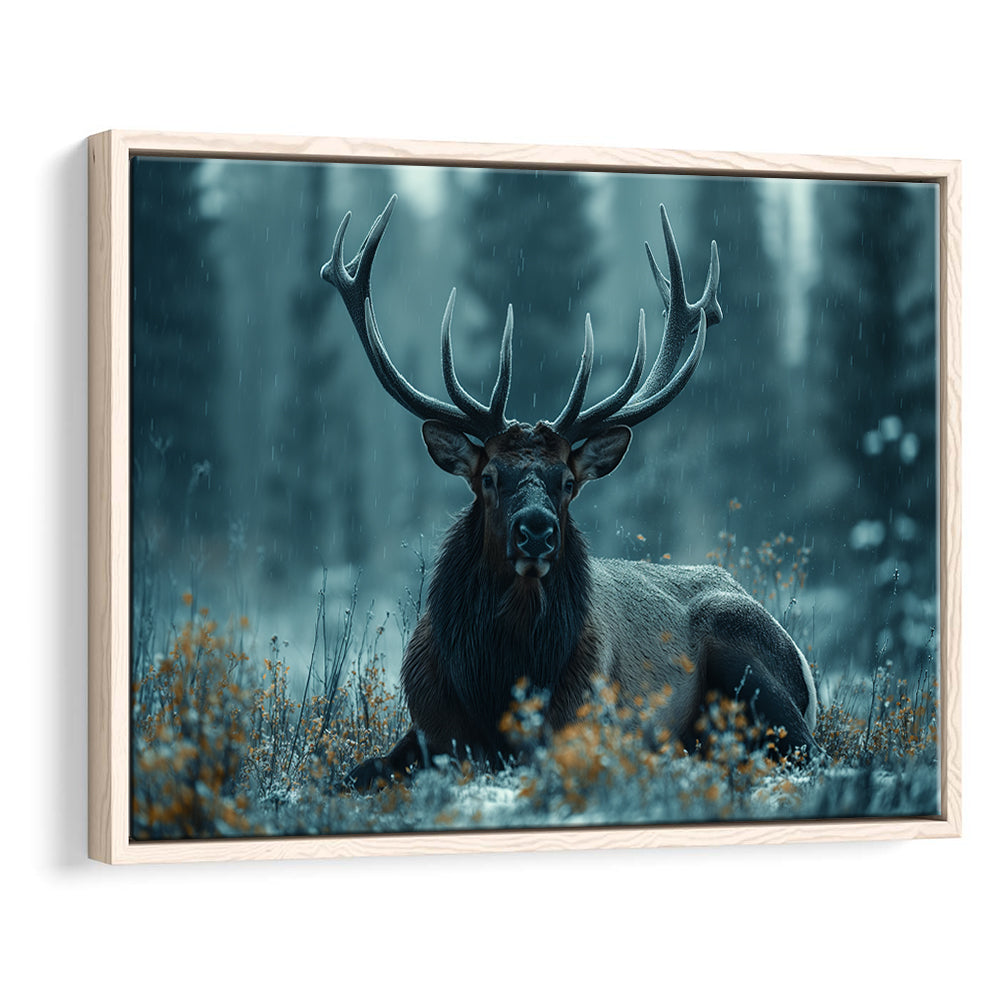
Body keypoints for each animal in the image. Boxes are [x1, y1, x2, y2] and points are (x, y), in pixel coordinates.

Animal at [321, 194, 820, 792]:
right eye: (489, 477)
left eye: (568, 482)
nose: (536, 530)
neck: (497, 683)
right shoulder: (428, 727)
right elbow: (354, 773)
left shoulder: (585, 721)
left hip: (744, 651)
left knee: (810, 750)